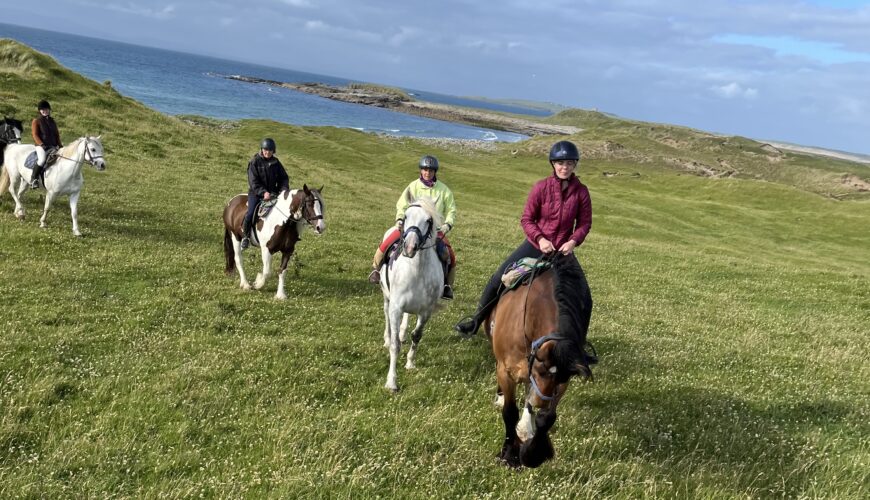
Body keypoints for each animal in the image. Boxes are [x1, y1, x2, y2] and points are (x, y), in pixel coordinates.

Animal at [382, 193, 446, 392]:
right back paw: (386, 338)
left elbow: (416, 335)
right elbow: (395, 346)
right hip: (386, 297)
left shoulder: (425, 312)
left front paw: (410, 362)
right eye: (406, 216)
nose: (410, 247)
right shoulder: (396, 308)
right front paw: (392, 381)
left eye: (429, 220)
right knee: (386, 316)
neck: (416, 270)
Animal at [488, 254, 596, 468]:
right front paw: (509, 454)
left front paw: (533, 453)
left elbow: (547, 418)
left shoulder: (562, 380)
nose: (539, 402)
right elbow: (509, 412)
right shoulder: (506, 371)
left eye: (560, 378)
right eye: (539, 370)